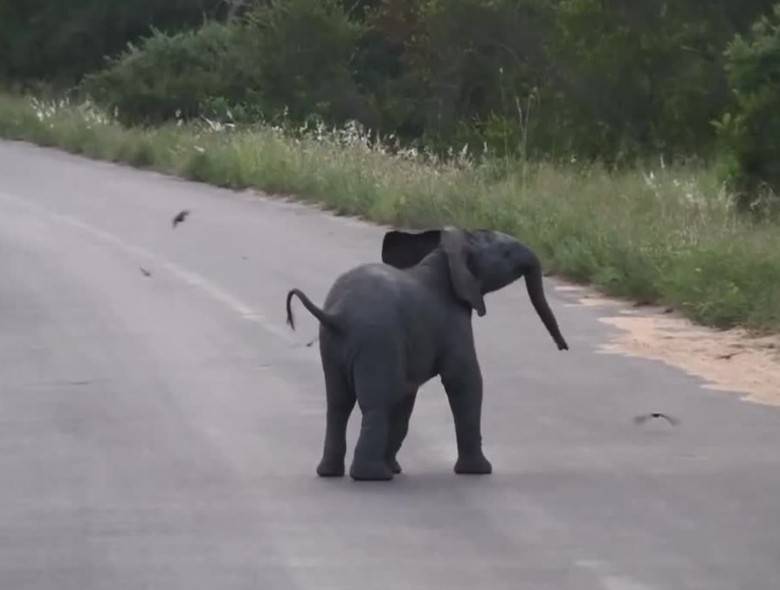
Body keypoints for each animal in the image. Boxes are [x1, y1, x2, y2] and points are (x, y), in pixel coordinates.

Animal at [286, 229, 568, 484]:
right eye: (507, 254)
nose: (563, 348)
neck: (445, 253)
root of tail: (338, 315)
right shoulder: (453, 321)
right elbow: (464, 381)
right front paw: (479, 471)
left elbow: (406, 398)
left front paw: (395, 467)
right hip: (376, 342)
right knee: (375, 404)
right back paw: (373, 477)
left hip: (333, 346)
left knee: (338, 404)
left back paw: (331, 473)